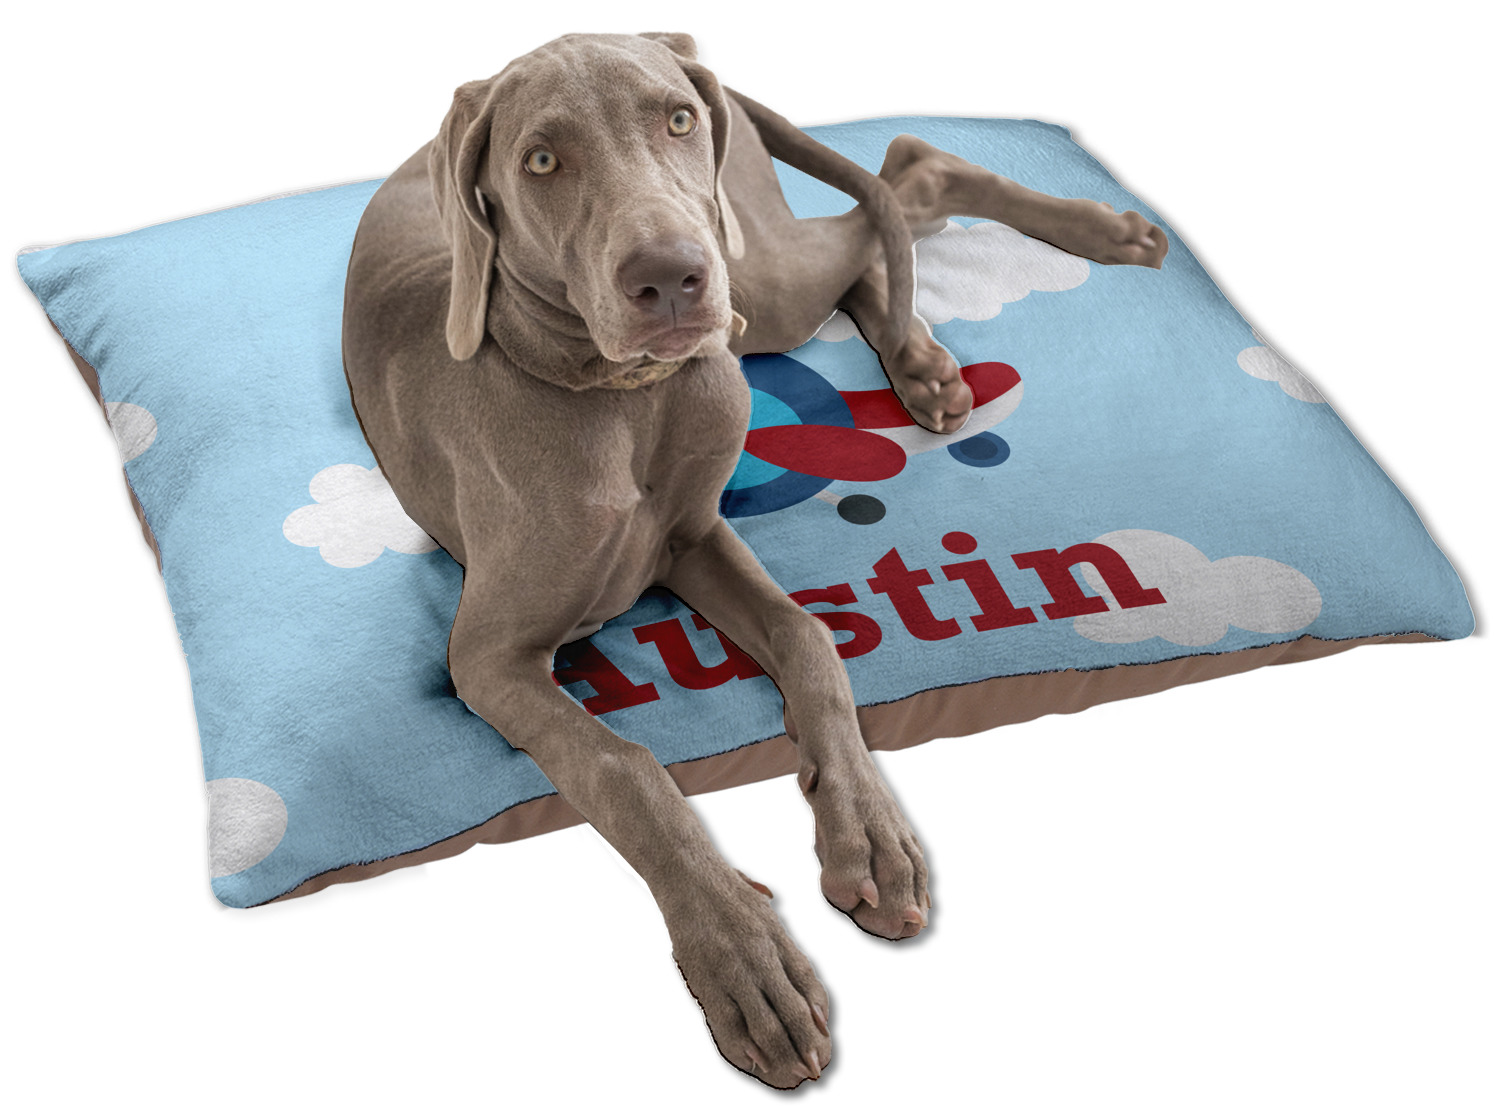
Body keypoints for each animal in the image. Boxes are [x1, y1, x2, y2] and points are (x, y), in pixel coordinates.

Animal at [342, 31, 1165, 1088]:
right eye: (541, 160)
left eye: (676, 121)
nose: (670, 278)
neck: (623, 399)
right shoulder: (486, 657)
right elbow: (623, 767)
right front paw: (743, 959)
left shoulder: (698, 539)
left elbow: (810, 637)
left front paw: (871, 836)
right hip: (760, 287)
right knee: (882, 214)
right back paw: (931, 358)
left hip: (755, 276)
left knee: (901, 179)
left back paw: (1090, 244)